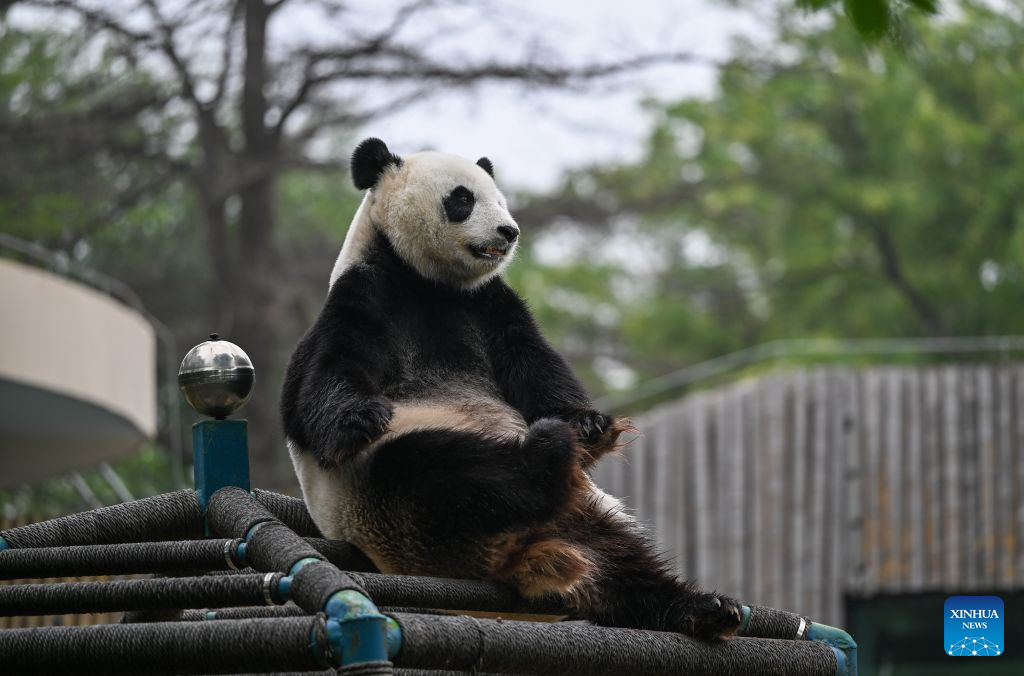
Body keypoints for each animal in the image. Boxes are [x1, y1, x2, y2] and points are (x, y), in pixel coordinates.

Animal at [281, 137, 742, 640]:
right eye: (463, 198)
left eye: (500, 199)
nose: (509, 231)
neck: (427, 281)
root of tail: (520, 550)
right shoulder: (364, 293)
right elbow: (323, 377)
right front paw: (361, 416)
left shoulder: (488, 303)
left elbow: (532, 361)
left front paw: (591, 425)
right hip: (389, 502)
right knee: (446, 473)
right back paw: (545, 452)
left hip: (589, 517)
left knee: (626, 567)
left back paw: (703, 607)